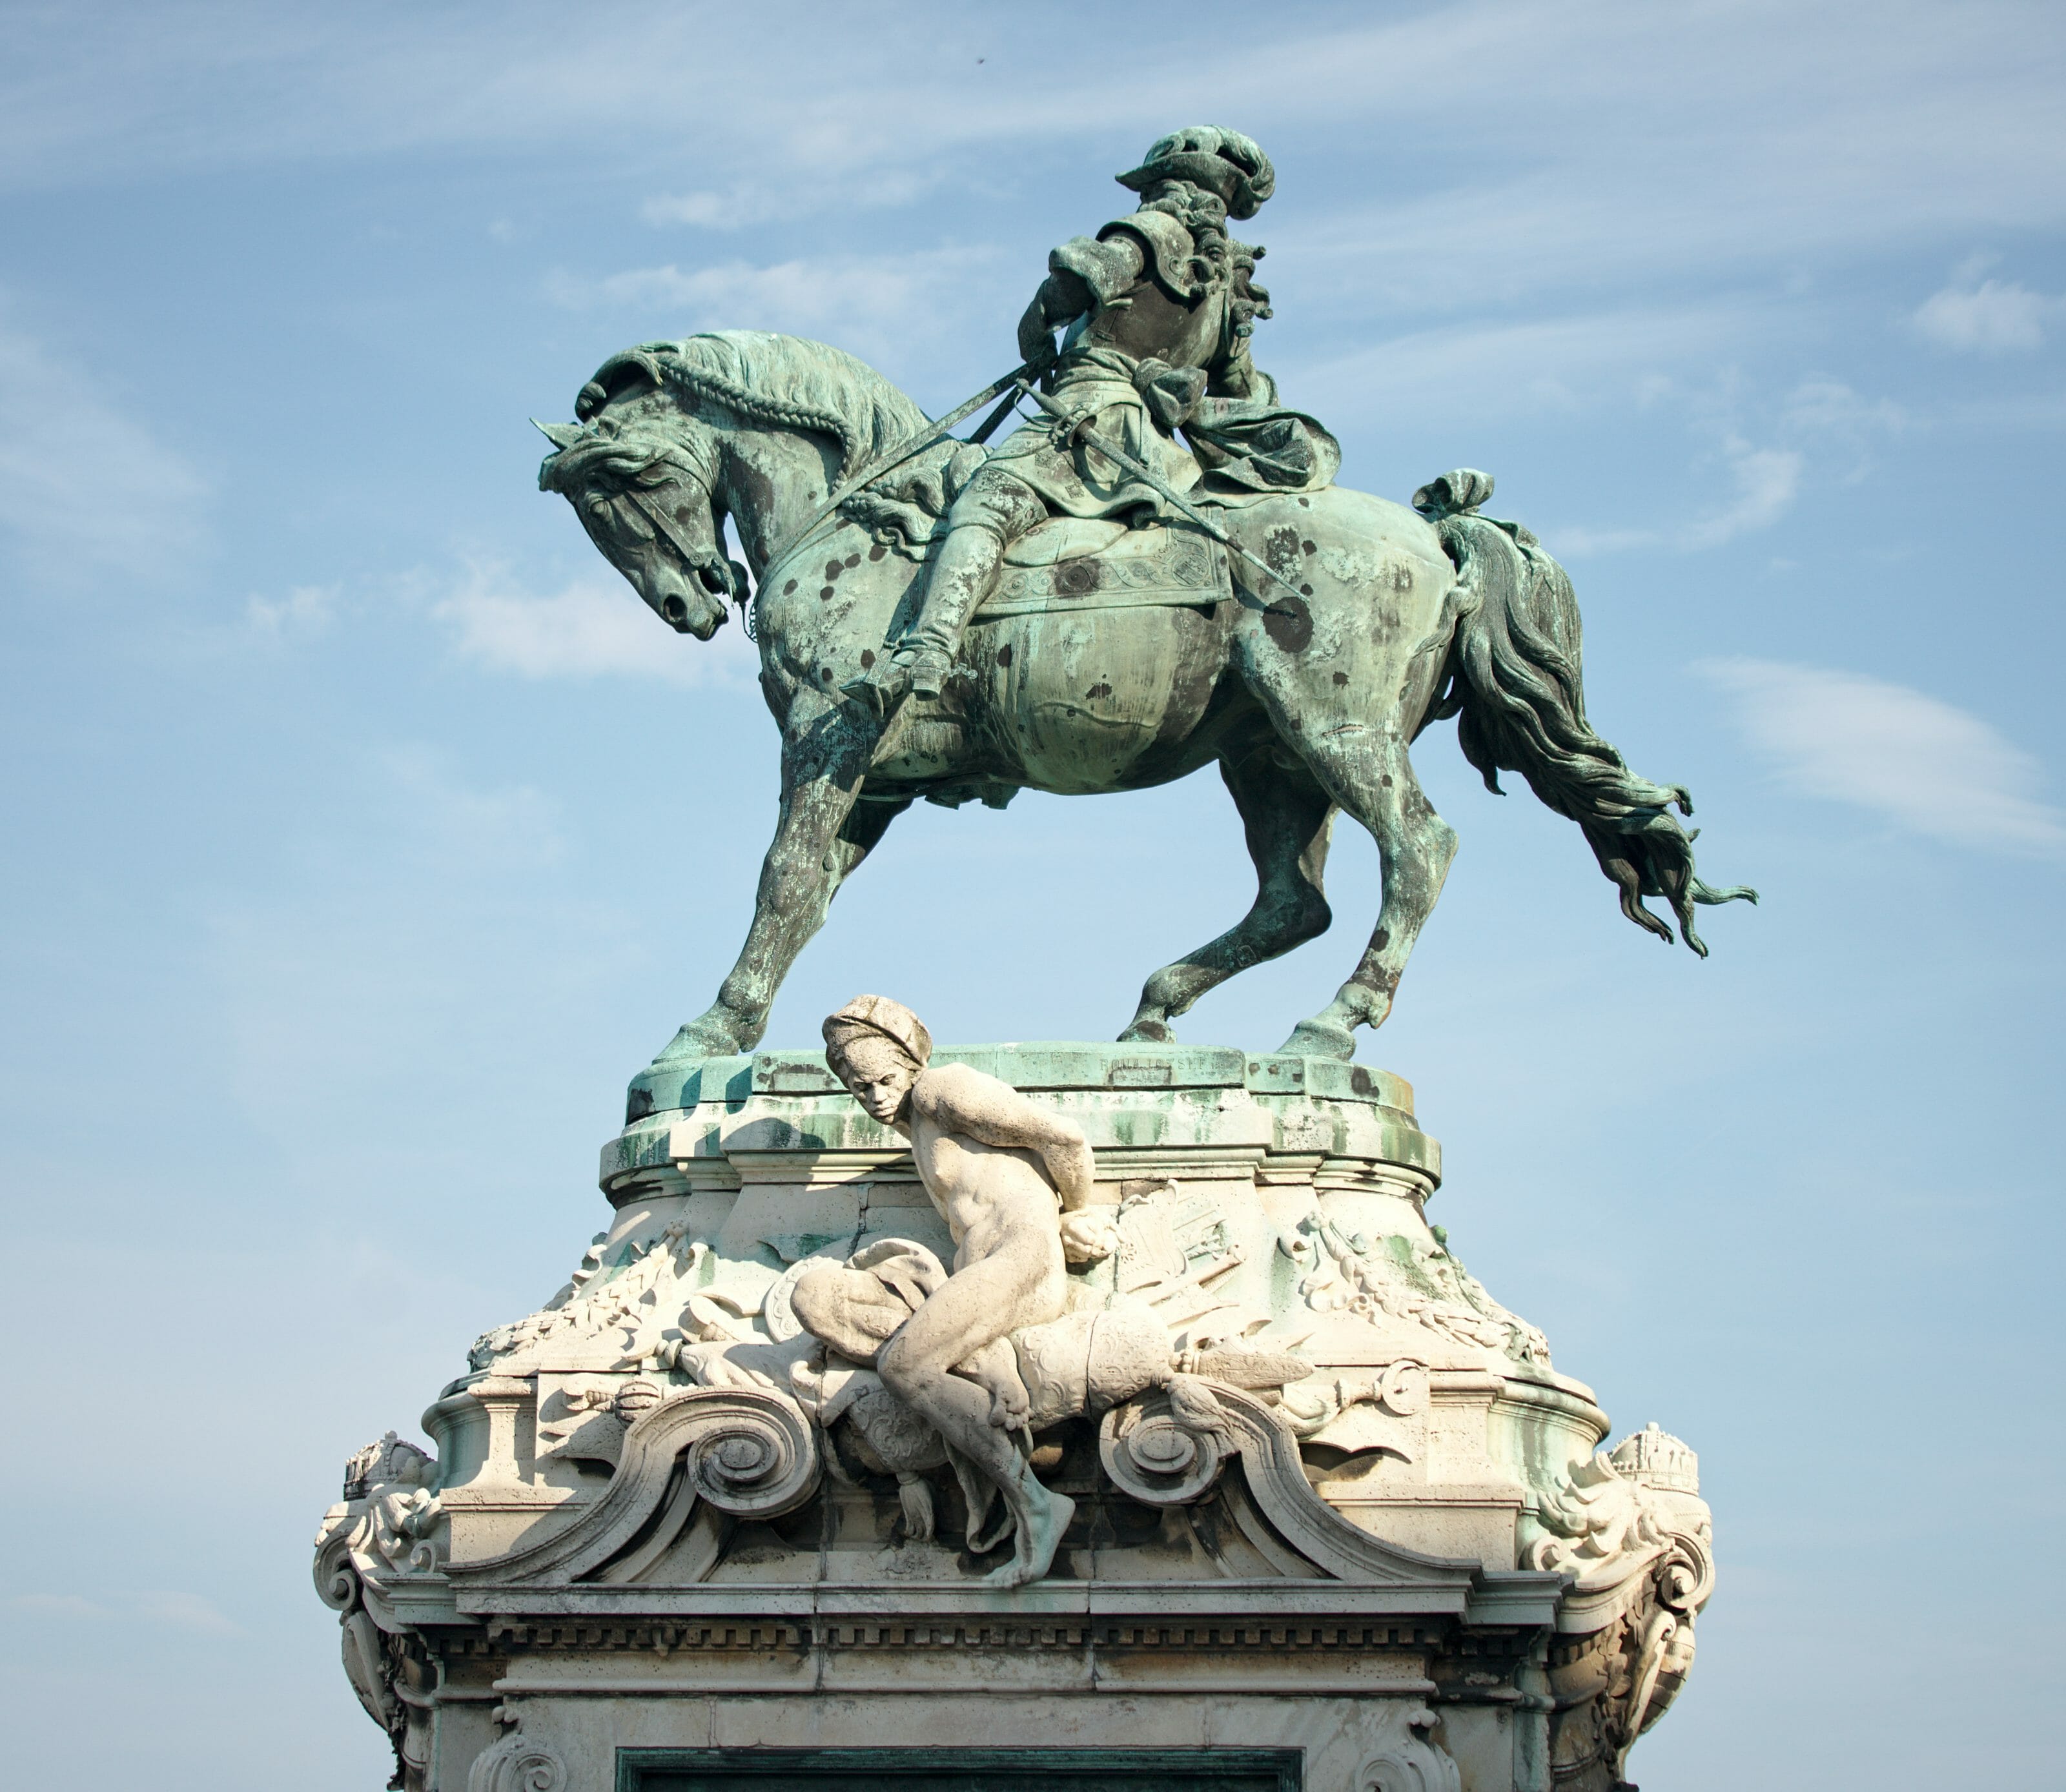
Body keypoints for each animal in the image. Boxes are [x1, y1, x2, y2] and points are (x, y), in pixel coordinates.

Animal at [541, 326, 1752, 1065]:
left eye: (619, 478)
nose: (686, 602)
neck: (863, 515)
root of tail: (1437, 534)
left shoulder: (826, 745)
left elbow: (783, 880)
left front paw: (708, 1032)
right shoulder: (874, 785)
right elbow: (808, 893)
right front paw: (738, 1022)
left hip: (1333, 726)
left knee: (1419, 849)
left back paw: (1332, 1027)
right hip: (1269, 760)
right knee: (1293, 901)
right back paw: (1156, 1011)